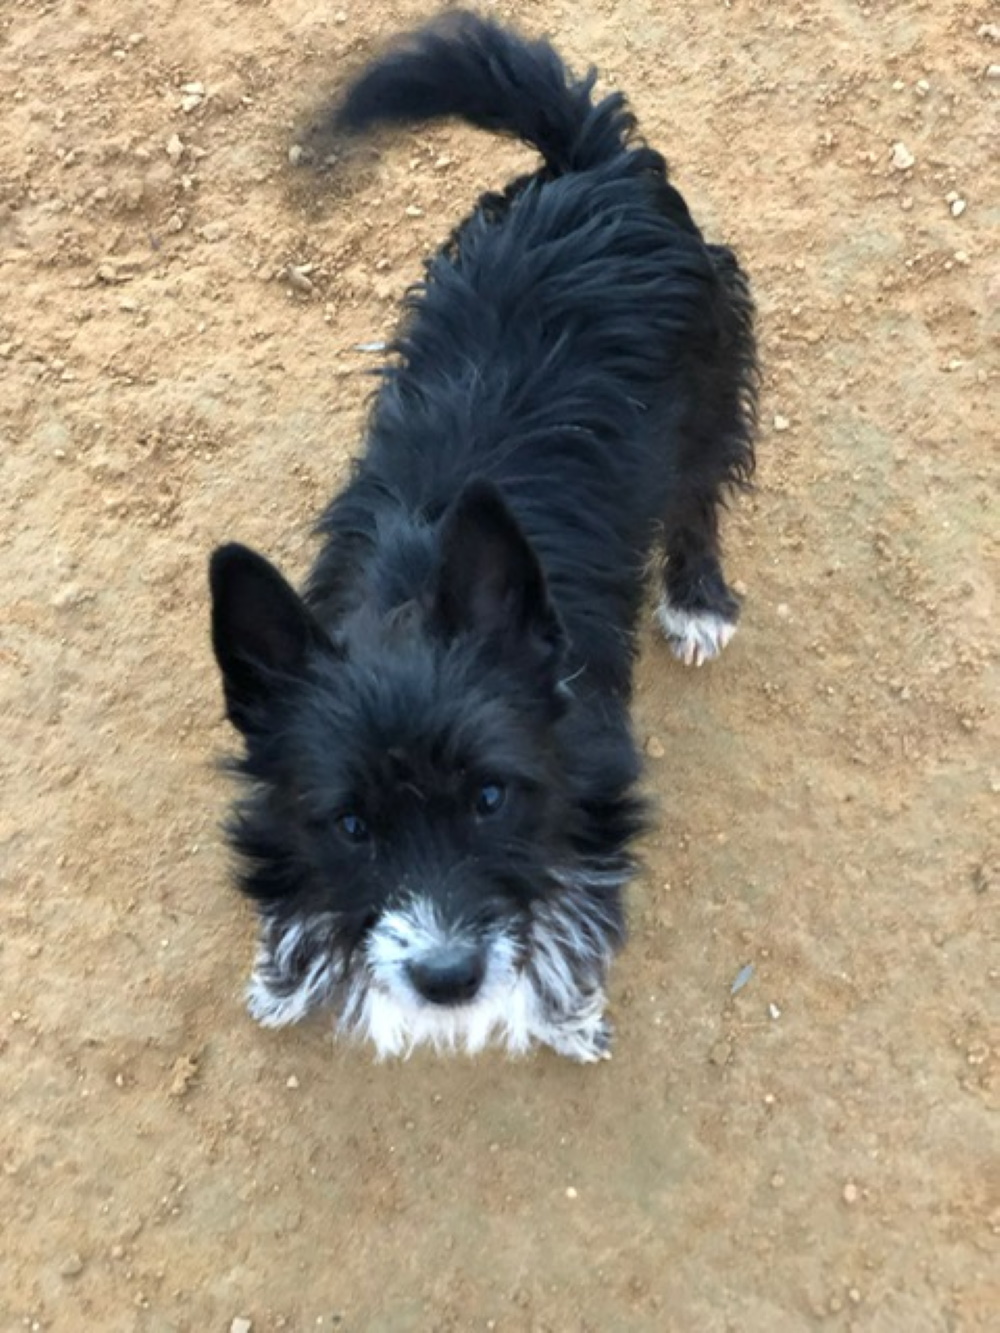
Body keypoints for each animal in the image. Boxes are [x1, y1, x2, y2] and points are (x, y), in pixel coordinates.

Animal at [208, 11, 756, 1062]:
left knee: (700, 502)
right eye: (351, 825)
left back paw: (697, 600)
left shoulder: (588, 795)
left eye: (491, 798)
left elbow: (568, 912)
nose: (447, 980)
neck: (407, 592)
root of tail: (593, 163)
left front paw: (565, 1012)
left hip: (711, 396)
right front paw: (287, 975)